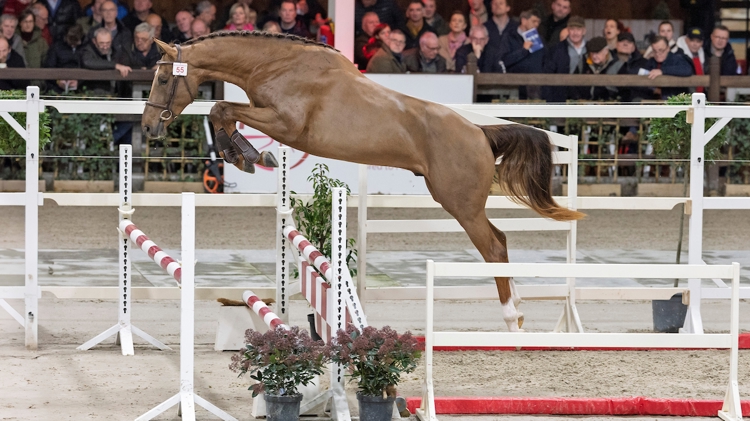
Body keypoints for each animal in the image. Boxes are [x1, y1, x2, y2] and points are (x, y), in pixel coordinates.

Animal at [142, 31, 588, 330]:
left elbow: (220, 108)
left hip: (460, 204)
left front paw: (248, 156)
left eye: (163, 79)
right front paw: (244, 155)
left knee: (494, 247)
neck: (276, 65)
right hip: (463, 203)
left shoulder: (286, 124)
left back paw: (512, 318)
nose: (148, 127)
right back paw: (518, 310)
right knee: (502, 240)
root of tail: (480, 133)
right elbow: (222, 110)